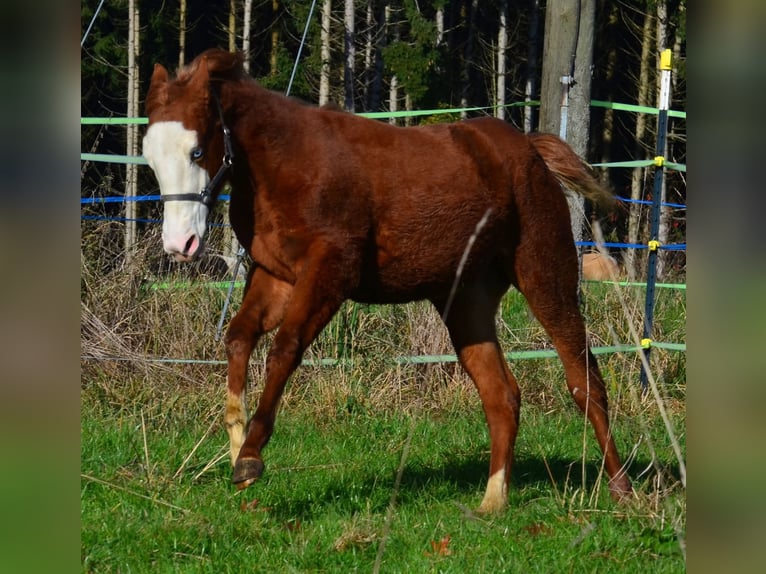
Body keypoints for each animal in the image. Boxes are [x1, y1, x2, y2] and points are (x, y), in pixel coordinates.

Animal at [142, 48, 632, 513]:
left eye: (197, 151)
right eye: (149, 156)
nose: (180, 244)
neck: (285, 165)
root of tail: (529, 151)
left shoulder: (329, 274)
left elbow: (284, 350)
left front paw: (250, 457)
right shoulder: (276, 276)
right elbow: (239, 337)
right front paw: (234, 441)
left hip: (547, 279)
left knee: (585, 382)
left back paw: (621, 489)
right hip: (466, 306)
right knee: (502, 397)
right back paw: (494, 501)